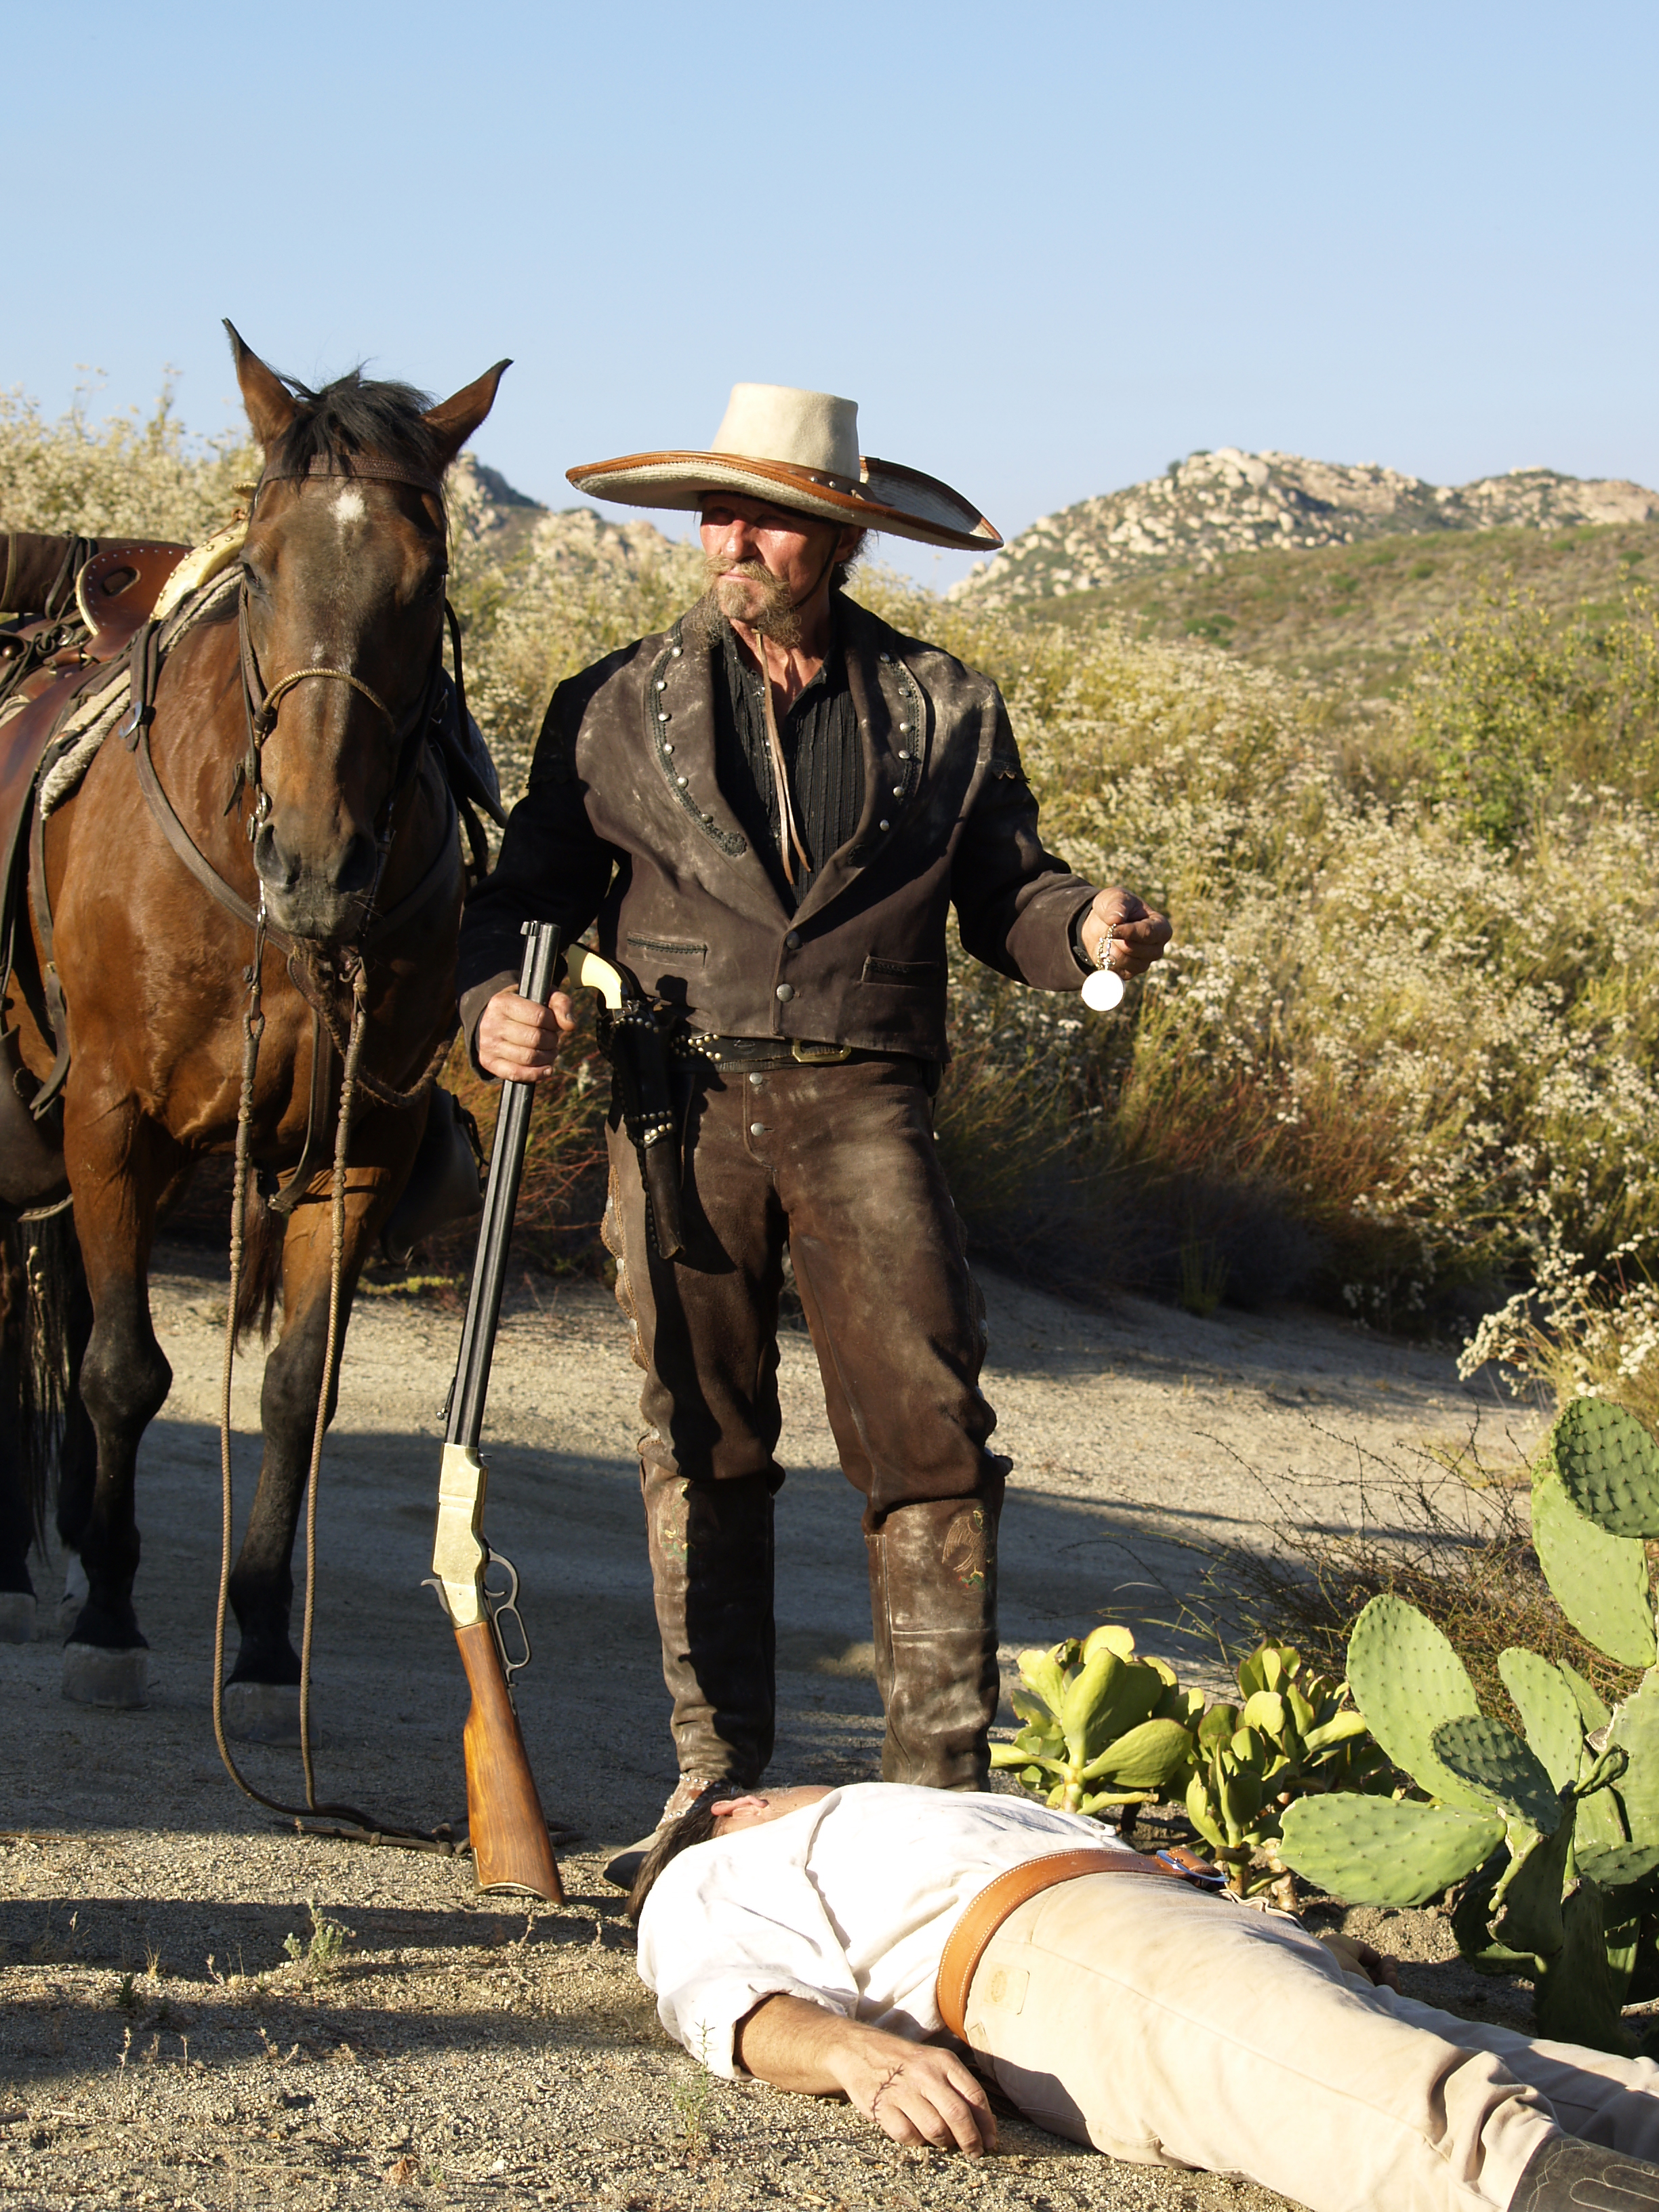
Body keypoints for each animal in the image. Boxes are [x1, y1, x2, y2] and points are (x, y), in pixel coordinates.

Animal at [0, 323, 506, 1707]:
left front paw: (270, 1632)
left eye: (425, 577)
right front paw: (111, 1624)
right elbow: (129, 1372)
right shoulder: (111, 1114)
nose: (318, 862)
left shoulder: (356, 1149)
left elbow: (291, 1391)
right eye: (264, 571)